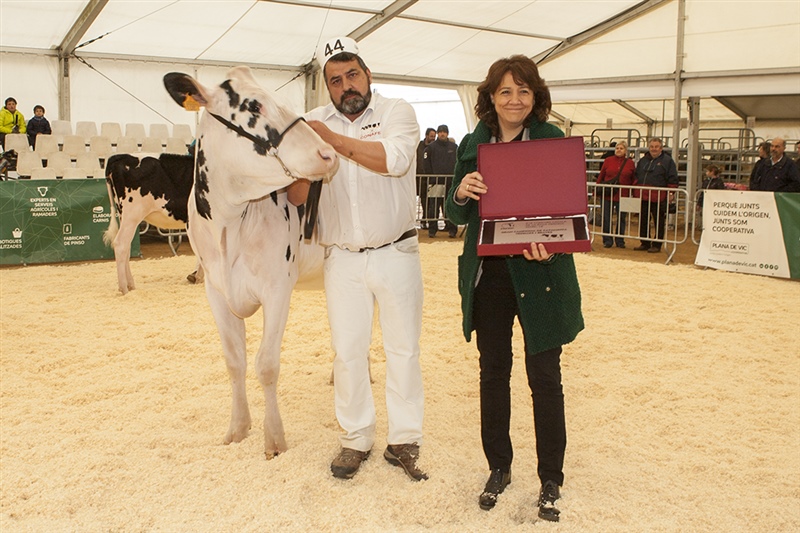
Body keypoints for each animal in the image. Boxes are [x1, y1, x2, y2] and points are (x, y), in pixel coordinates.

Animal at [103, 152, 200, 294]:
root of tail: (119, 157)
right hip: (132, 215)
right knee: (120, 244)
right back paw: (124, 289)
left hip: (124, 217)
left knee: (127, 247)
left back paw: (131, 285)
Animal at [162, 65, 338, 458]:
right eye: (254, 105)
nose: (329, 153)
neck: (230, 227)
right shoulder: (215, 291)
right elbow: (234, 362)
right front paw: (238, 429)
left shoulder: (277, 289)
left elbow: (266, 365)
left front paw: (274, 440)